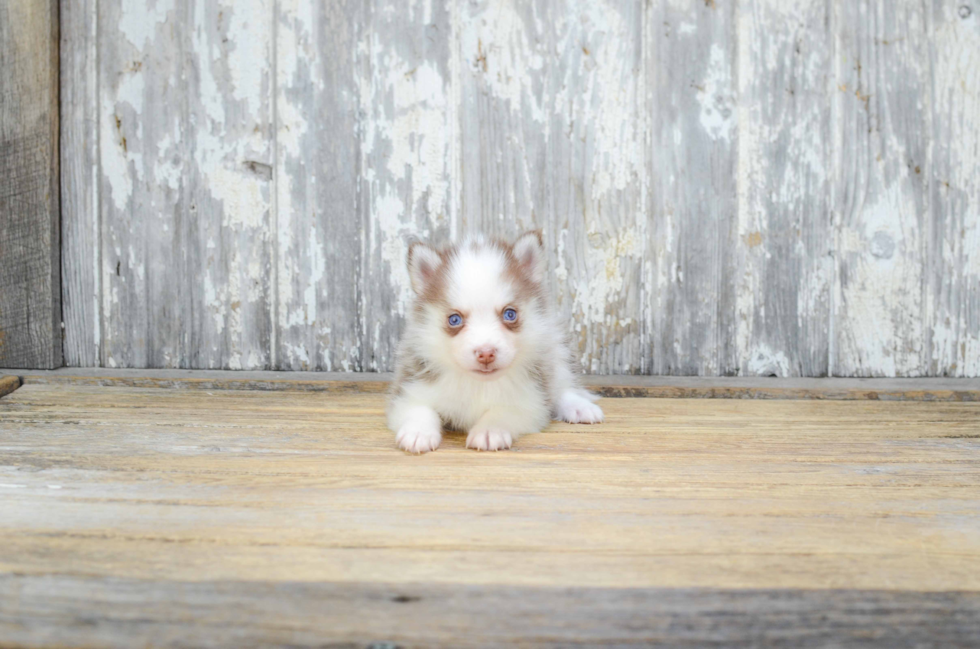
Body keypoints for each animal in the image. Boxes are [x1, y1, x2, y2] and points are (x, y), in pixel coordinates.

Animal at [384, 230, 600, 454]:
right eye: (454, 319)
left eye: (510, 314)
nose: (486, 353)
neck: (479, 384)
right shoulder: (409, 390)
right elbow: (419, 408)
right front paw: (418, 432)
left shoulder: (529, 401)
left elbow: (501, 412)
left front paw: (488, 431)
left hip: (556, 350)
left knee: (562, 386)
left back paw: (580, 407)